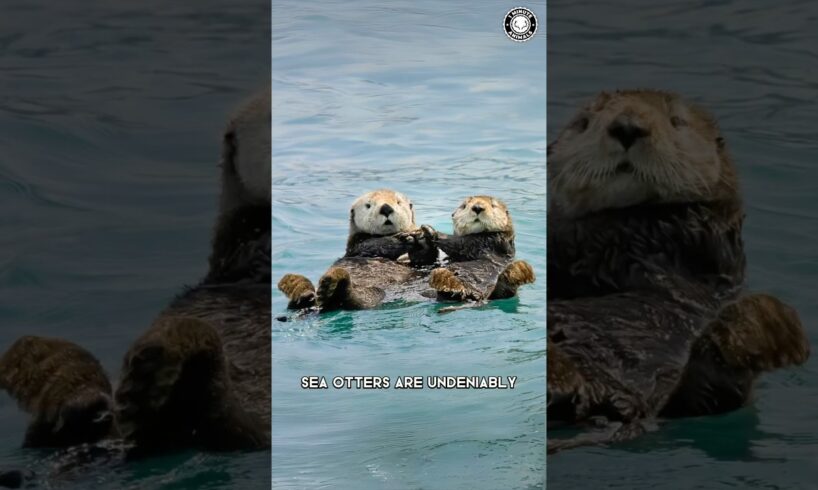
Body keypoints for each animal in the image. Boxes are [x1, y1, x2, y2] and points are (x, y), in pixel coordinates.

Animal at [278, 189, 438, 312]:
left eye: (398, 202)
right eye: (368, 205)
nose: (386, 208)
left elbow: (423, 258)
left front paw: (422, 238)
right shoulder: (356, 243)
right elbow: (373, 245)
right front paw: (401, 239)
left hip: (373, 293)